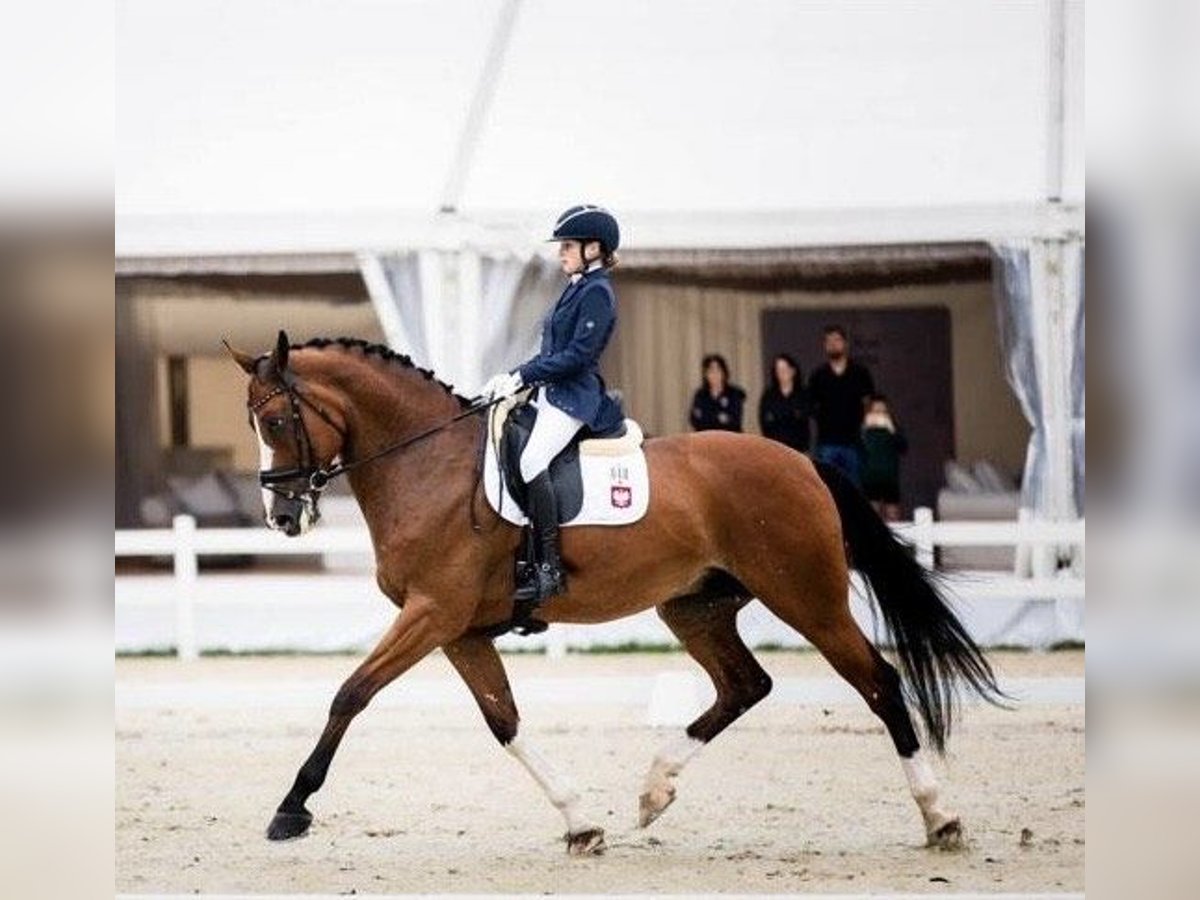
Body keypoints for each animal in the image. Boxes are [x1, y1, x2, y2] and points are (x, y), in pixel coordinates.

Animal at [225, 333, 1003, 859]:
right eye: (254, 422)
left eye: (278, 421)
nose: (282, 517)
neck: (425, 463)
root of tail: (804, 461)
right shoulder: (459, 629)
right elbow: (504, 721)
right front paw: (580, 821)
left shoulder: (432, 614)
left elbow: (351, 693)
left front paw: (291, 808)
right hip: (695, 606)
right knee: (745, 684)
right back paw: (655, 789)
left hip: (806, 596)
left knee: (877, 681)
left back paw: (940, 816)